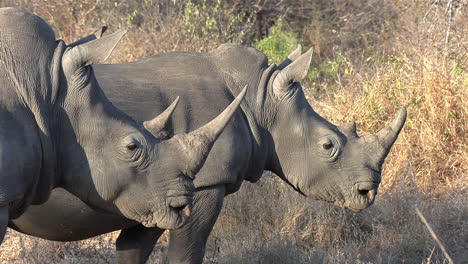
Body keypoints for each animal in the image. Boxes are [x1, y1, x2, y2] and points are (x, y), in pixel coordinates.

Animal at [11, 42, 406, 262]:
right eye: (328, 146)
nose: (368, 191)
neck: (261, 99)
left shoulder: (155, 191)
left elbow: (132, 250)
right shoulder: (202, 184)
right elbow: (187, 252)